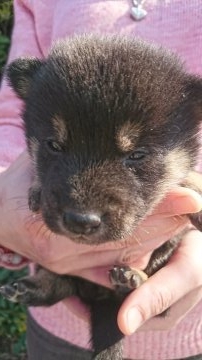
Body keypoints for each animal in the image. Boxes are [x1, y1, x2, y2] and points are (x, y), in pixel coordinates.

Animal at [1, 34, 202, 360]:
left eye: (137, 155)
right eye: (54, 145)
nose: (80, 221)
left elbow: (189, 176)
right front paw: (36, 189)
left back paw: (132, 279)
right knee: (63, 285)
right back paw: (32, 288)